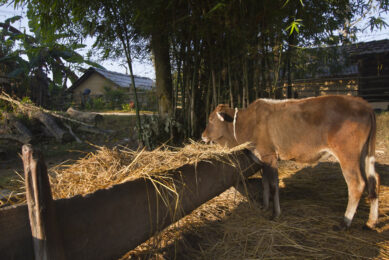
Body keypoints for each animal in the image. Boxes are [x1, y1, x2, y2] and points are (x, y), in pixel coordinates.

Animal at [202, 95, 378, 230]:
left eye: (210, 119)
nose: (202, 135)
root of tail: (363, 104)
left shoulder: (269, 155)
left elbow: (274, 185)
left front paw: (275, 214)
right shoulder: (262, 159)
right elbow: (265, 183)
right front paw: (265, 206)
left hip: (348, 154)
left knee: (356, 184)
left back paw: (345, 222)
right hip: (365, 154)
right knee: (373, 180)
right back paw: (371, 222)